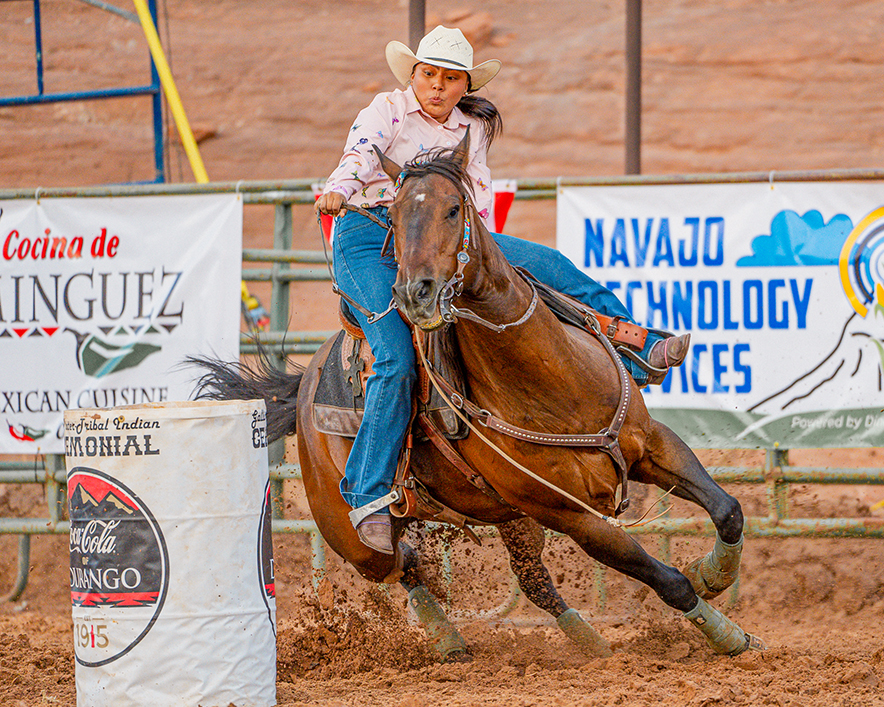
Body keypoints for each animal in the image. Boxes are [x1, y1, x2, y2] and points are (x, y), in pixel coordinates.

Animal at [192, 134, 760, 664]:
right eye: (393, 215)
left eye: (453, 208)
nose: (415, 293)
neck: (555, 384)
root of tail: (307, 383)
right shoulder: (568, 513)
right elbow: (666, 579)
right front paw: (727, 633)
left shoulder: (651, 445)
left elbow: (728, 509)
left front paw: (715, 577)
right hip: (350, 533)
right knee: (403, 562)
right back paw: (446, 638)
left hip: (508, 513)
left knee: (530, 580)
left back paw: (590, 643)